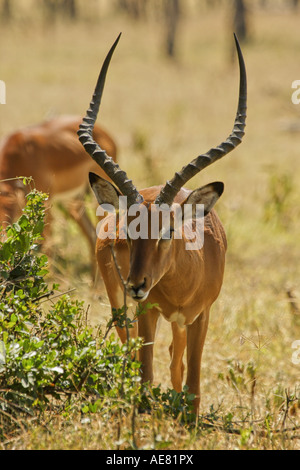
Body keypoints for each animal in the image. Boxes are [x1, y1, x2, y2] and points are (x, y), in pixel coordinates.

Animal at [78, 34, 247, 414]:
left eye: (168, 231)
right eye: (130, 231)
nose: (137, 284)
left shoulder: (201, 316)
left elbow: (193, 379)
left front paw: (189, 416)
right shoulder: (147, 311)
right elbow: (145, 373)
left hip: (176, 321)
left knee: (176, 360)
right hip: (119, 304)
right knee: (137, 355)